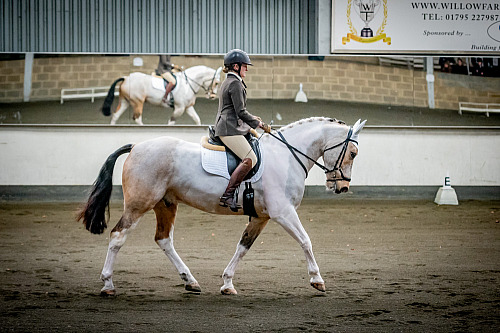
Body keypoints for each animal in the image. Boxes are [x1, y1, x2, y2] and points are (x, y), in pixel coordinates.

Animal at [78, 117, 368, 296]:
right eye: (353, 153)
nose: (342, 187)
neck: (286, 156)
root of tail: (137, 145)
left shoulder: (261, 217)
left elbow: (243, 247)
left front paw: (227, 283)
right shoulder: (283, 212)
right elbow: (306, 241)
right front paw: (317, 280)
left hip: (166, 204)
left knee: (164, 239)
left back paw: (190, 281)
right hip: (140, 205)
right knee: (118, 236)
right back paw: (108, 285)